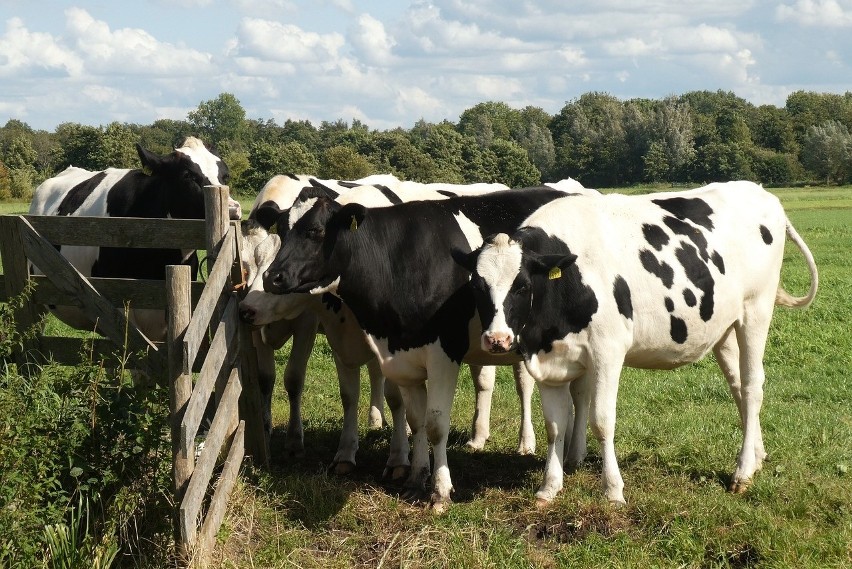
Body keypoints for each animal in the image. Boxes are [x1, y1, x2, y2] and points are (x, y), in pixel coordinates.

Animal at [262, 186, 580, 510]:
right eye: (282, 230)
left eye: (315, 231)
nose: (271, 277)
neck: (398, 260)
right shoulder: (401, 354)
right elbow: (416, 422)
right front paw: (416, 479)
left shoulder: (444, 354)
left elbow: (436, 424)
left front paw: (440, 491)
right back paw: (569, 454)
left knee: (539, 388)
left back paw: (533, 446)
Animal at [456, 180, 824, 504]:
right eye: (476, 286)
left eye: (522, 285)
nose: (497, 339)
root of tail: (760, 192)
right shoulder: (548, 358)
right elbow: (555, 425)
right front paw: (549, 487)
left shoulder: (608, 350)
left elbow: (602, 421)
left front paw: (613, 490)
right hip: (725, 327)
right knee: (738, 387)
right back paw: (757, 456)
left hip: (756, 310)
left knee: (752, 385)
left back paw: (743, 471)